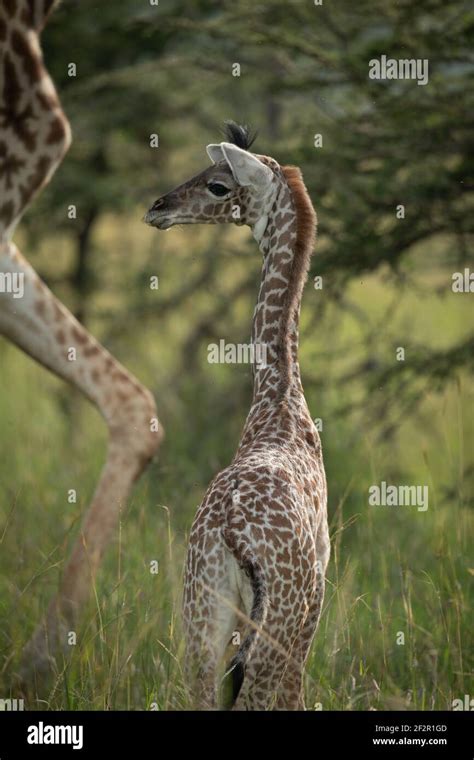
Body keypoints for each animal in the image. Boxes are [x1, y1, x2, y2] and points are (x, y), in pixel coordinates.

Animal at [145, 122, 330, 710]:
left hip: (200, 618)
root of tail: (232, 534)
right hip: (279, 621)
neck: (279, 403)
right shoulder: (319, 592)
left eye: (218, 184)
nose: (157, 208)